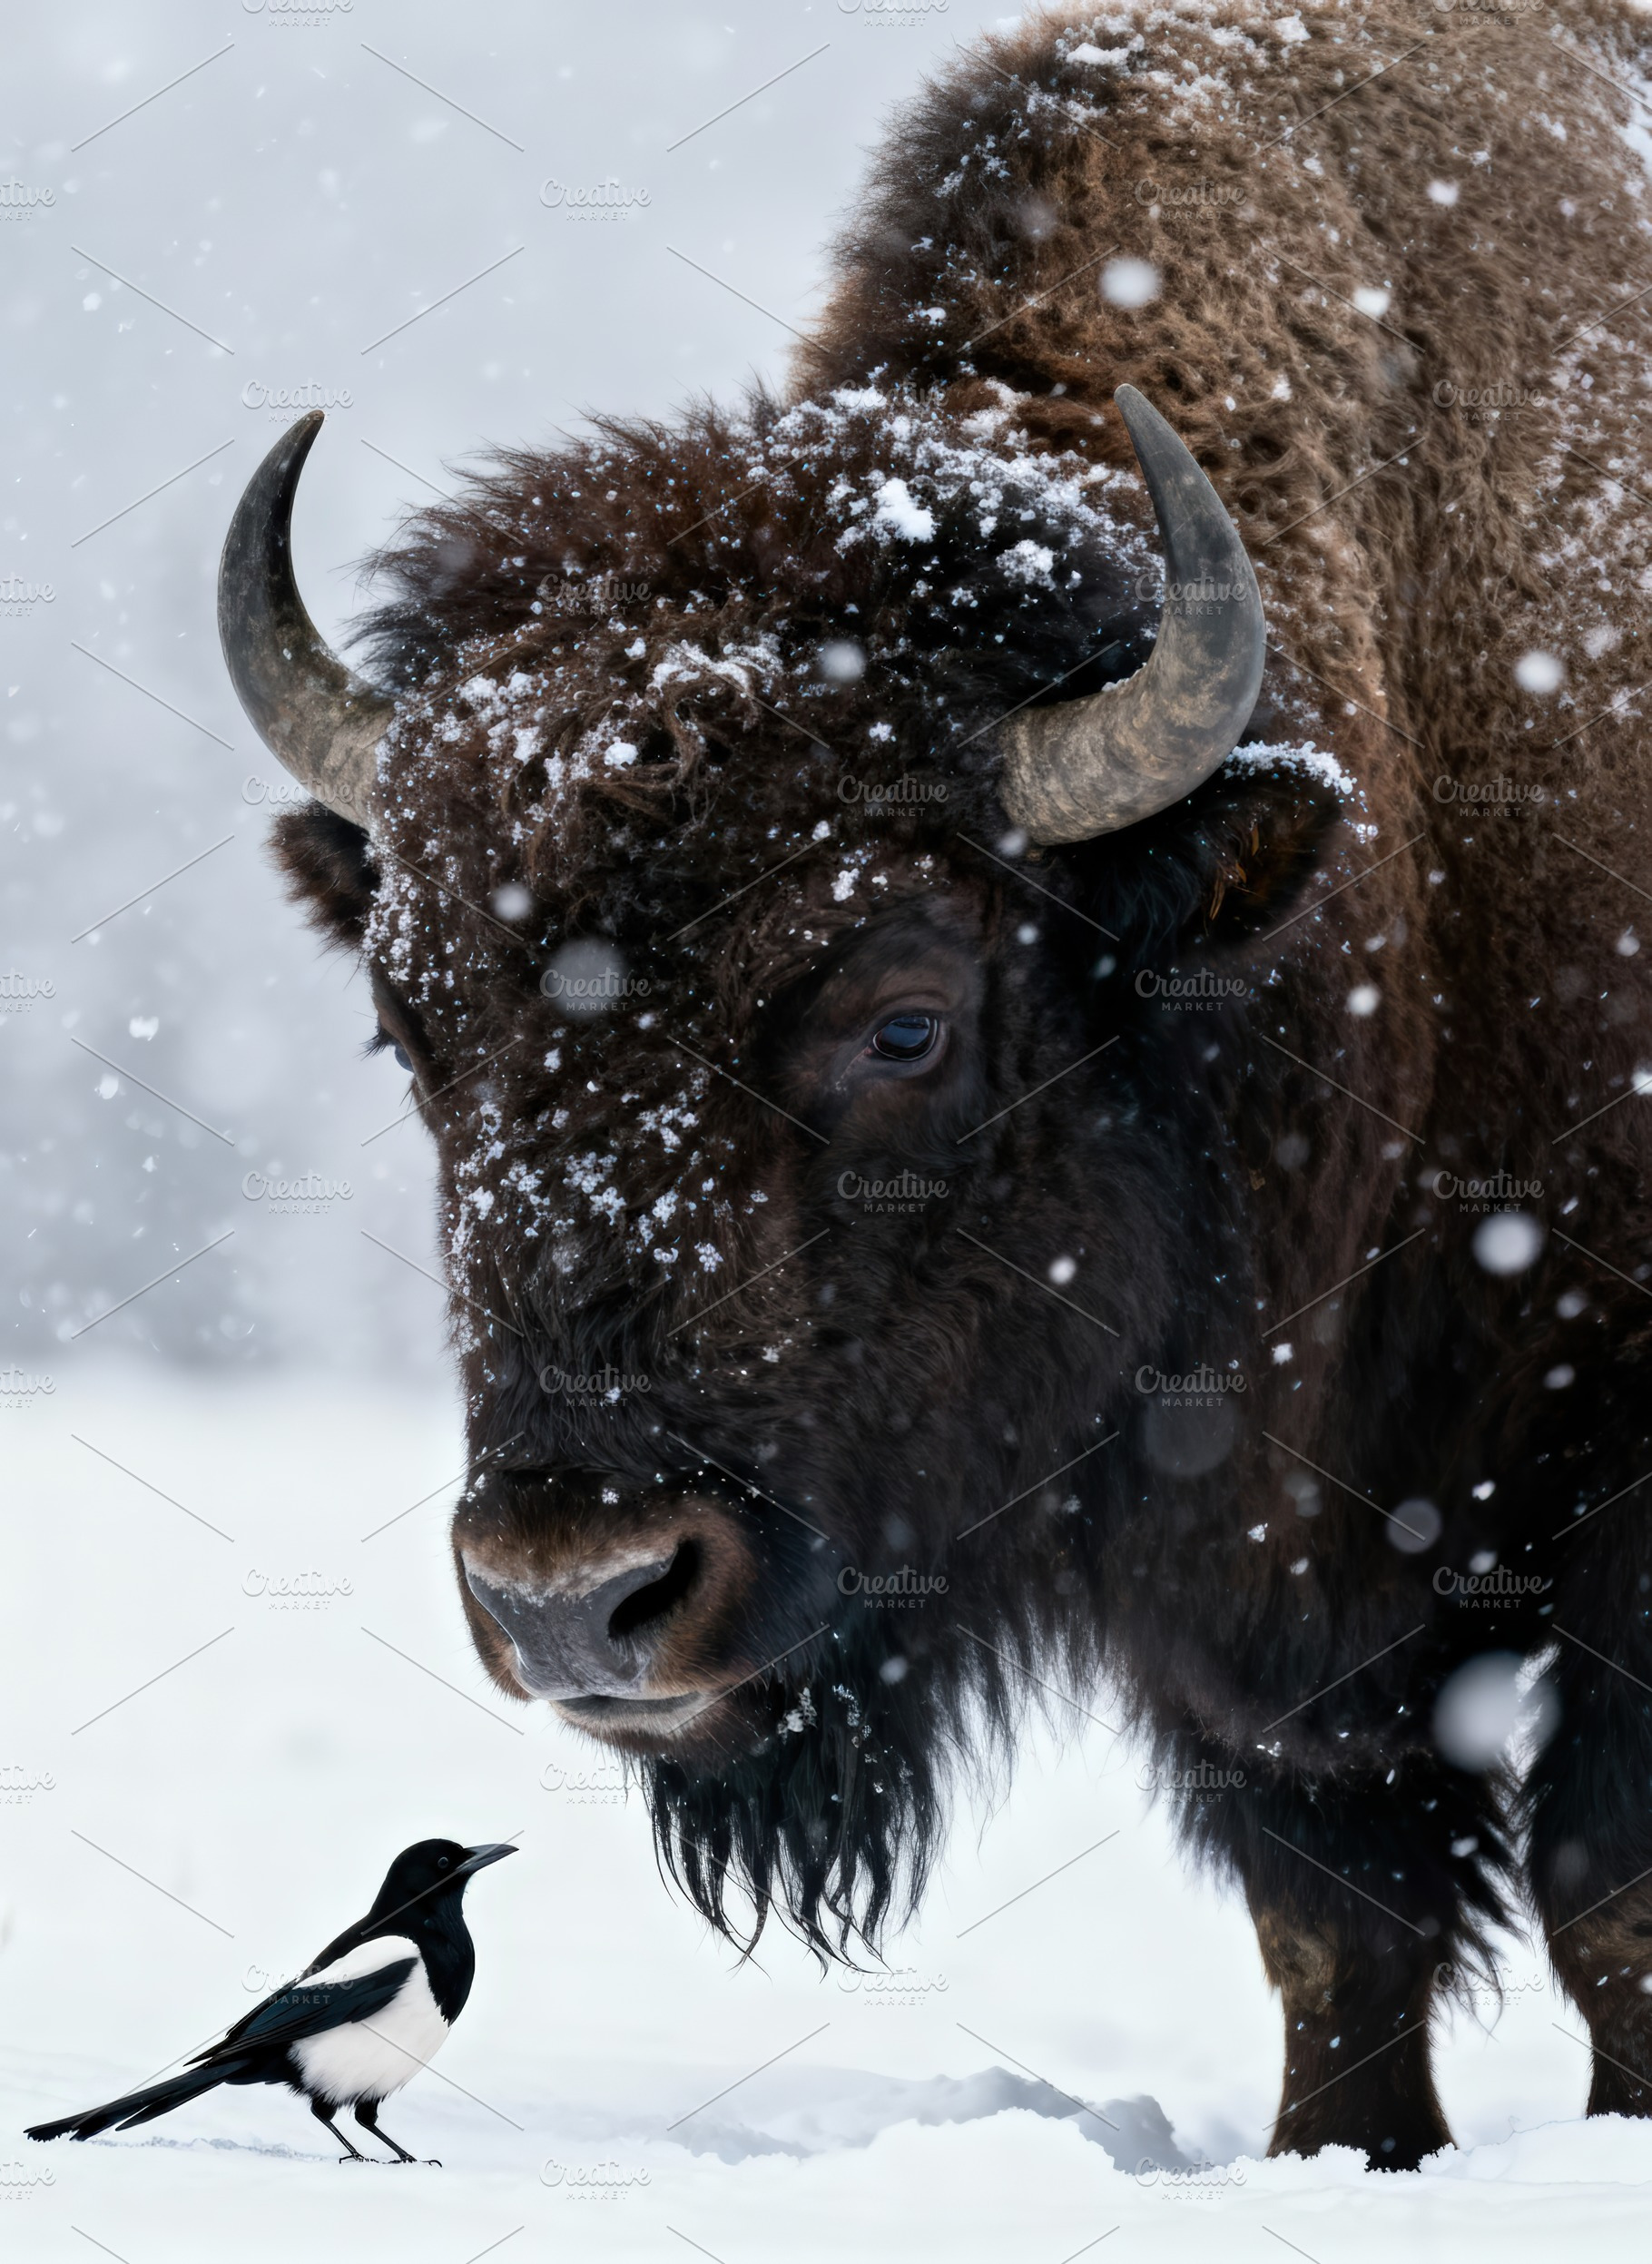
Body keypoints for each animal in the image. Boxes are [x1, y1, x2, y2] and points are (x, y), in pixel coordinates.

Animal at [218, 1, 1652, 2169]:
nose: (574, 1595)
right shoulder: (1253, 1631)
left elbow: (1605, 1900)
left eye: (903, 1018)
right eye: (412, 1027)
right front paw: (1342, 2157)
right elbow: (1337, 1925)